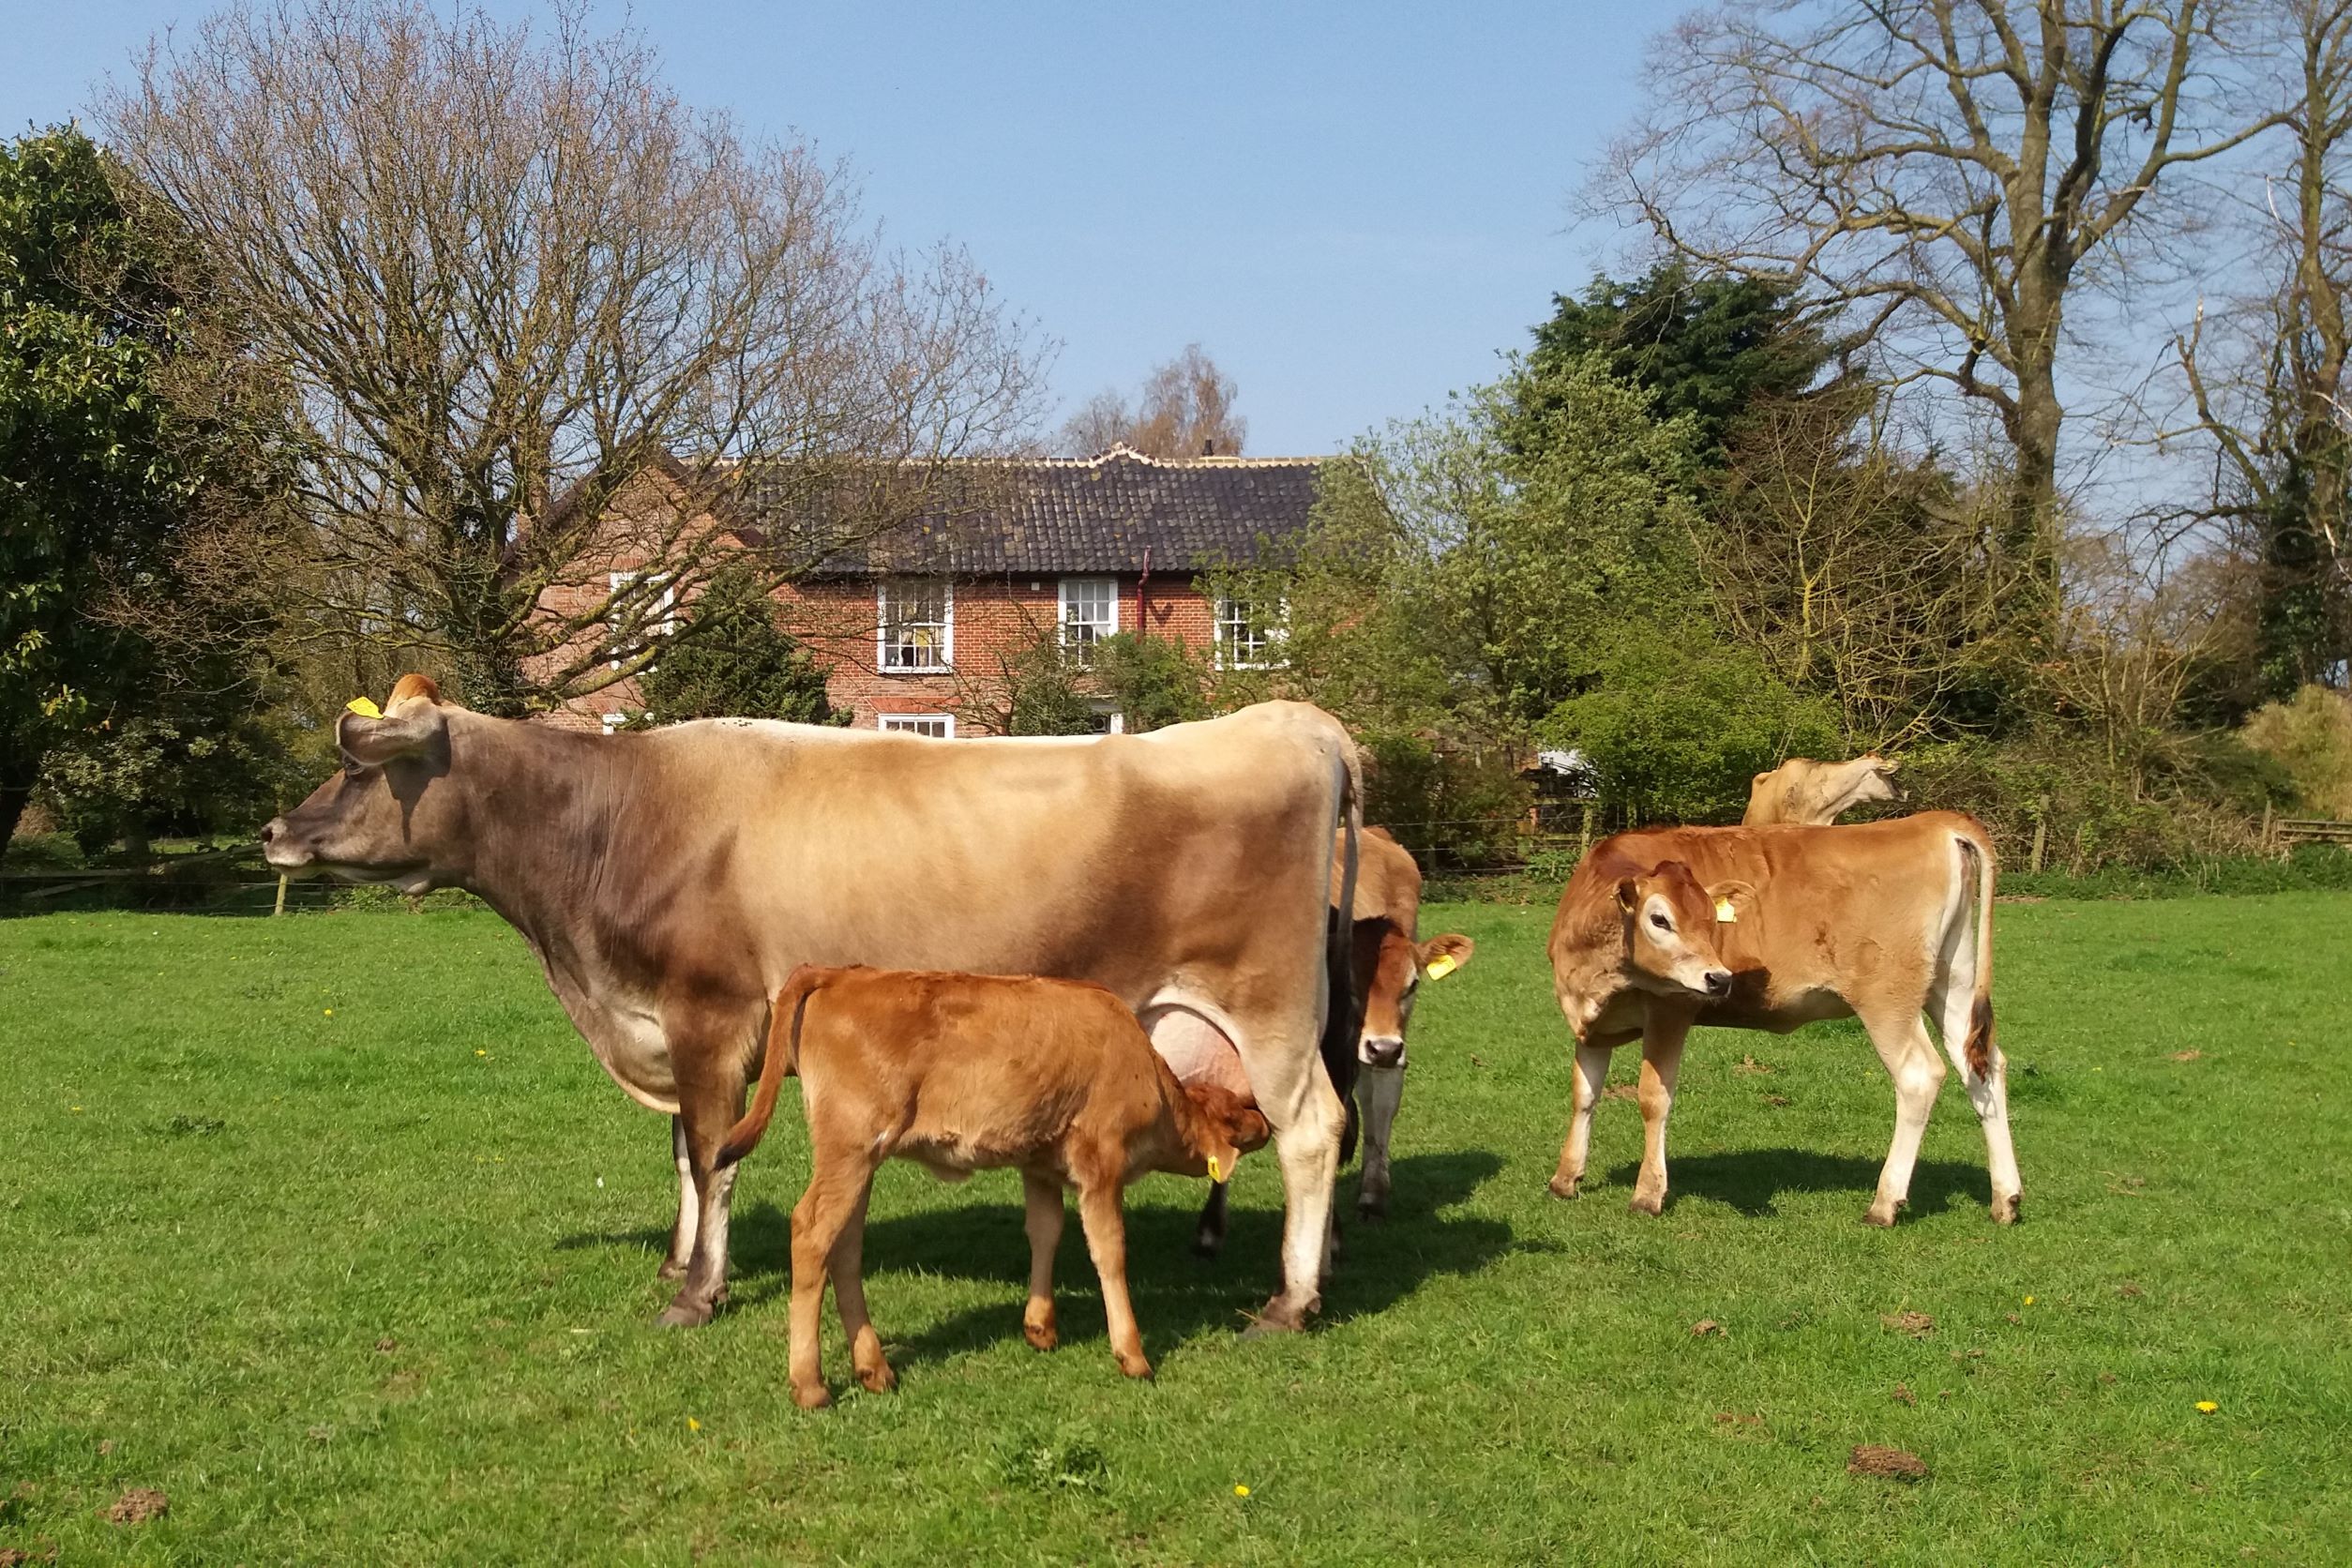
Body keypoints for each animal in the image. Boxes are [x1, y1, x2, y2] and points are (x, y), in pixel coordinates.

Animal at [261, 674, 1361, 1334]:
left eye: (357, 767)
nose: (274, 831)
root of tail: (1292, 721)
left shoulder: (708, 1015)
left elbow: (712, 1154)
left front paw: (697, 1295)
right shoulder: (677, 1027)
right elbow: (684, 1156)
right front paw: (677, 1263)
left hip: (1269, 1009)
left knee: (1314, 1130)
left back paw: (1291, 1300)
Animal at [714, 965, 1273, 1407]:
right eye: (1234, 1112)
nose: (1264, 1120)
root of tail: (842, 973)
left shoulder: (1041, 1163)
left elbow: (1046, 1231)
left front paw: (1040, 1327)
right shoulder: (1101, 1161)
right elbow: (1109, 1251)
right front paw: (1132, 1354)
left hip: (858, 1159)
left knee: (845, 1245)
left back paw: (875, 1370)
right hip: (849, 1149)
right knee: (811, 1232)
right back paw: (810, 1385)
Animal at [1193, 826, 1474, 1252]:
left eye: (1411, 985)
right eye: (1352, 985)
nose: (1384, 1048)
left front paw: (1332, 1233)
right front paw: (1211, 1226)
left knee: (1380, 1099)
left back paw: (1373, 1195)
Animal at [1545, 812, 2021, 1227]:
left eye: (1712, 921)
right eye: (1658, 919)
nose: (1720, 978)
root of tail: (1932, 821)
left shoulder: (1671, 1008)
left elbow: (1653, 1098)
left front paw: (1648, 1194)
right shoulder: (1590, 1025)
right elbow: (1584, 1093)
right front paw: (1565, 1179)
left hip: (1887, 998)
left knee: (1919, 1075)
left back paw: (1884, 1204)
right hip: (1953, 981)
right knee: (1982, 1068)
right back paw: (2006, 1199)